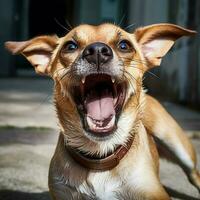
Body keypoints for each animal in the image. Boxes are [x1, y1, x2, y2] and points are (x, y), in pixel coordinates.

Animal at [5, 22, 200, 199]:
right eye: (70, 46)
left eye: (124, 45)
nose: (97, 50)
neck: (100, 156)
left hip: (177, 144)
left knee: (194, 174)